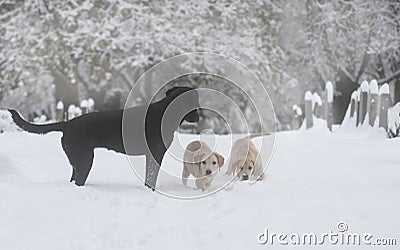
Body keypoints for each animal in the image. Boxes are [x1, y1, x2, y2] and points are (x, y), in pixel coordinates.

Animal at [7, 87, 198, 190]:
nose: (197, 116)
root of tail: (68, 124)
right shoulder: (155, 154)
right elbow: (151, 178)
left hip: (78, 162)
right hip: (85, 161)